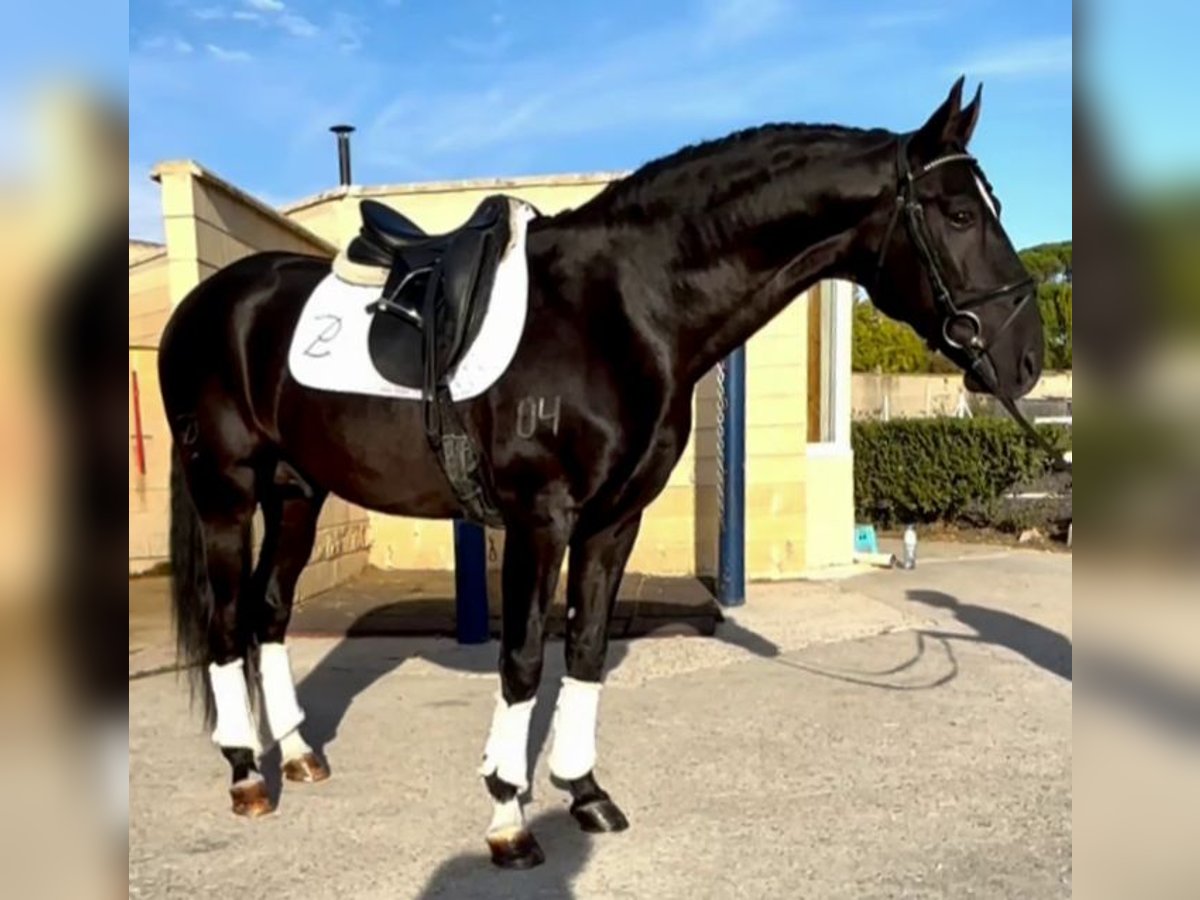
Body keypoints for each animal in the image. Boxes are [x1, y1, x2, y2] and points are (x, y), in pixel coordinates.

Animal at [158, 77, 1043, 868]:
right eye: (960, 213)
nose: (1026, 360)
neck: (621, 308)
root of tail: (208, 304)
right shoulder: (539, 519)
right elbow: (522, 661)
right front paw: (509, 819)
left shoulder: (616, 519)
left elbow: (583, 649)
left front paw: (583, 794)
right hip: (226, 493)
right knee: (228, 622)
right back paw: (246, 775)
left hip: (296, 493)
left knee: (270, 613)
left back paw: (299, 753)